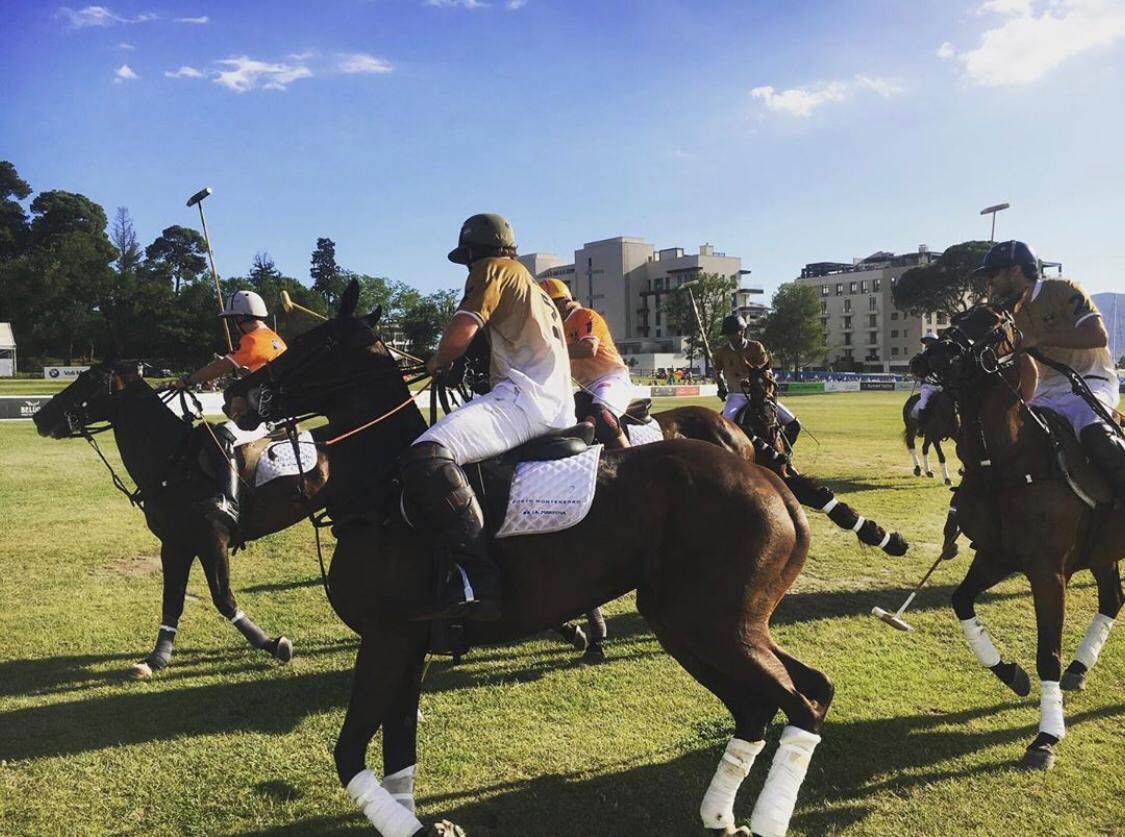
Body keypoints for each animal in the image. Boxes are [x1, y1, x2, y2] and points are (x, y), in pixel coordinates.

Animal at [32, 360, 329, 678]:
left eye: (90, 380)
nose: (39, 416)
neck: (174, 463)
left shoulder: (212, 540)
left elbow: (223, 599)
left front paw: (273, 644)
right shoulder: (175, 544)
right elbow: (172, 601)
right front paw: (155, 659)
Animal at [227, 281, 834, 837]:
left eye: (318, 343)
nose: (237, 391)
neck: (379, 496)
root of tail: (768, 479)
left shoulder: (387, 640)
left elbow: (350, 752)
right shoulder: (408, 646)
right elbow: (399, 752)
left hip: (716, 623)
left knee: (800, 701)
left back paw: (763, 818)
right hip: (692, 622)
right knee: (767, 704)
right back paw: (720, 816)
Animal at [915, 305, 1123, 770]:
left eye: (994, 323)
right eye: (956, 318)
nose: (931, 354)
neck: (1008, 460)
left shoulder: (1048, 573)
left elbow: (1047, 654)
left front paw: (1046, 738)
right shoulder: (995, 556)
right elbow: (961, 601)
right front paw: (1011, 674)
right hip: (1103, 551)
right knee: (1112, 599)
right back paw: (1079, 670)